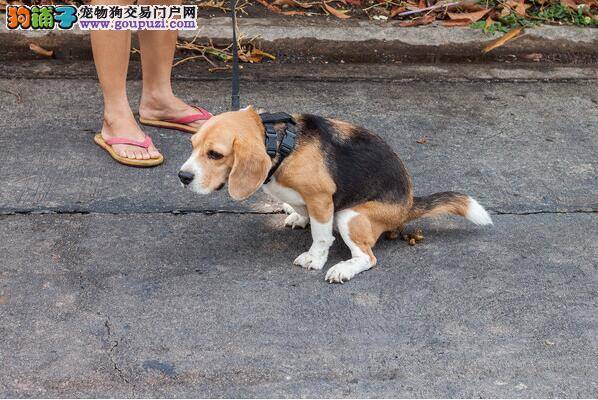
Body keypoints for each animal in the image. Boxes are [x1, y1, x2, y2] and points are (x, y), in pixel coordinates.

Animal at [179, 104, 492, 282]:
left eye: (215, 154)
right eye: (192, 146)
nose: (182, 177)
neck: (279, 142)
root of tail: (409, 203)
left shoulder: (321, 197)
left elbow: (320, 236)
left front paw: (315, 259)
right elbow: (303, 211)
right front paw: (298, 216)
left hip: (350, 216)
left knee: (367, 258)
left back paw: (343, 269)